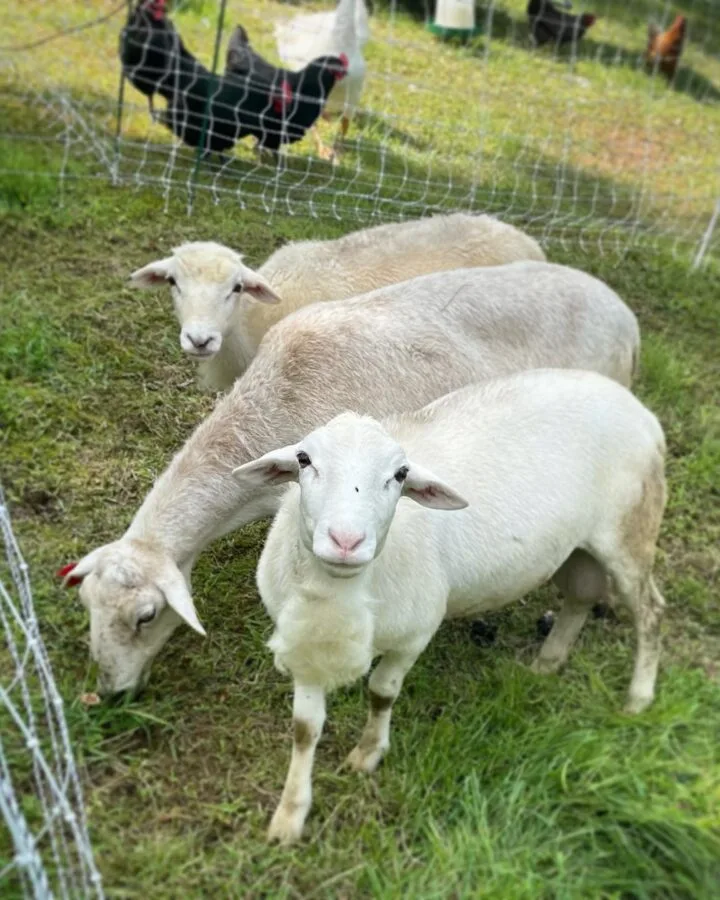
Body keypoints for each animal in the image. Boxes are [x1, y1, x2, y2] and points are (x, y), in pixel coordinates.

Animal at [233, 370, 667, 845]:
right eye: (304, 459)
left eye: (400, 474)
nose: (346, 541)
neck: (340, 593)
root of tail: (631, 402)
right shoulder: (307, 647)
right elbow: (304, 728)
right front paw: (289, 815)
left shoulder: (415, 633)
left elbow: (381, 692)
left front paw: (367, 754)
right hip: (575, 547)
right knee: (581, 596)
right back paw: (548, 662)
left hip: (631, 530)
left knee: (650, 611)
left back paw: (639, 697)